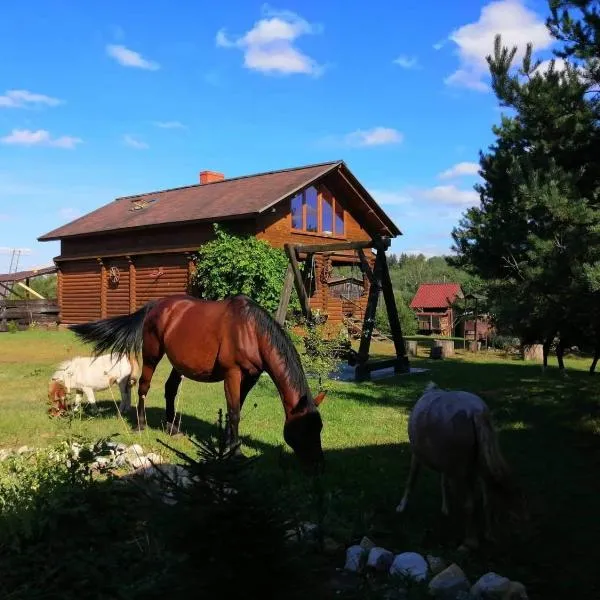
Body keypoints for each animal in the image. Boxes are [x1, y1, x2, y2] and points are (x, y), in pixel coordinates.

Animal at [68, 296, 326, 468]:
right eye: (304, 428)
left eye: (319, 427)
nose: (318, 464)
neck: (251, 331)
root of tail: (156, 305)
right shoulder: (233, 374)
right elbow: (234, 413)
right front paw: (236, 452)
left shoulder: (250, 378)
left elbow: (235, 410)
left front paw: (229, 445)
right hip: (152, 355)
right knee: (143, 386)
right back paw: (141, 424)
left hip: (177, 363)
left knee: (170, 389)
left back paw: (172, 428)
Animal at [396, 382, 528, 552]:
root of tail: (476, 413)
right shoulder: (450, 464)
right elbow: (443, 482)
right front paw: (445, 509)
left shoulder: (419, 454)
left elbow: (411, 479)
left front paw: (401, 507)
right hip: (476, 466)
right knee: (485, 499)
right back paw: (485, 535)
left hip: (462, 469)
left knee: (468, 504)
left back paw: (468, 543)